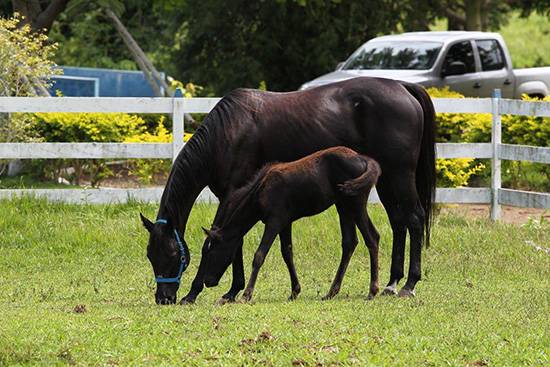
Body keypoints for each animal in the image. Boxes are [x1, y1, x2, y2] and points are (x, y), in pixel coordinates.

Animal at [203, 146, 384, 302]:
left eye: (212, 252)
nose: (208, 282)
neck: (261, 189)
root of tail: (364, 159)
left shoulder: (274, 222)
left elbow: (259, 255)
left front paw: (246, 294)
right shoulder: (285, 223)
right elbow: (287, 253)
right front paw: (294, 291)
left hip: (355, 204)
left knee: (371, 238)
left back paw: (372, 290)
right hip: (343, 206)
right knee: (350, 242)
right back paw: (331, 292)